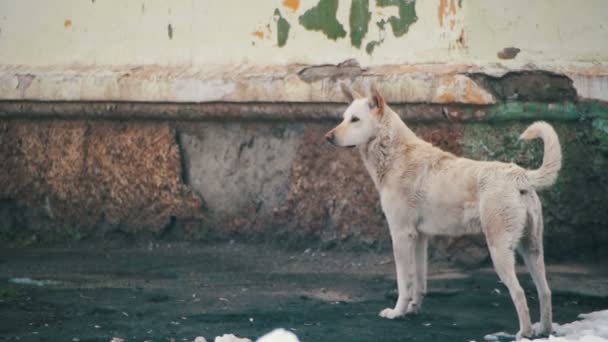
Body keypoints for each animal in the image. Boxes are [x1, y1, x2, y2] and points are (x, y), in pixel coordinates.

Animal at [326, 83, 564, 340]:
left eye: (355, 119)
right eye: (343, 118)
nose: (327, 137)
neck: (395, 154)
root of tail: (519, 175)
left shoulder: (400, 235)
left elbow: (404, 282)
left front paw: (397, 312)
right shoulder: (419, 238)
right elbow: (419, 282)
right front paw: (413, 310)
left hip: (500, 251)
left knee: (519, 292)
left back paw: (525, 332)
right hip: (532, 249)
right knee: (545, 291)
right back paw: (544, 329)